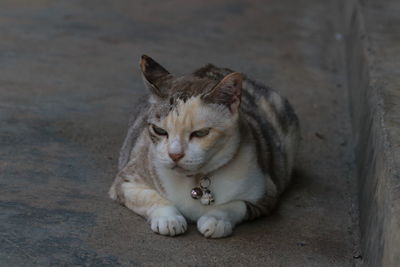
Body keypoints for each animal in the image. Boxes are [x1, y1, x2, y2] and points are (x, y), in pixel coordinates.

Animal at [109, 55, 300, 239]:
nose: (174, 154)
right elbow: (152, 197)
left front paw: (216, 219)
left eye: (200, 133)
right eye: (159, 130)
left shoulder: (267, 194)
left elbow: (236, 205)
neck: (195, 181)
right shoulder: (125, 179)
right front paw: (169, 218)